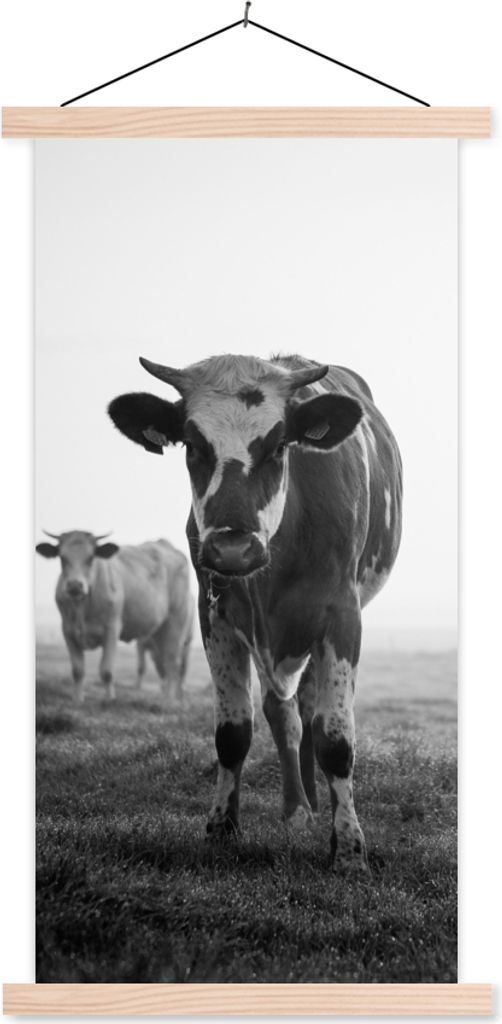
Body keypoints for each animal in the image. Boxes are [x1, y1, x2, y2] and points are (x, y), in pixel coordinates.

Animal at [36, 531, 193, 704]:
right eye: (62, 558)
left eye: (90, 558)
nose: (75, 585)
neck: (82, 605)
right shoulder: (67, 631)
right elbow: (77, 670)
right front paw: (77, 699)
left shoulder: (111, 629)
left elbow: (107, 670)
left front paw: (109, 699)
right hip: (158, 634)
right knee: (164, 665)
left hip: (176, 624)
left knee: (173, 663)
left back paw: (169, 700)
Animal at [108, 354, 402, 872]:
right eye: (193, 445)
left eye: (279, 446)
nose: (232, 549)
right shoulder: (216, 617)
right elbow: (234, 733)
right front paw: (222, 829)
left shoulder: (343, 617)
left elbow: (335, 739)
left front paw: (349, 847)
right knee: (285, 714)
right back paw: (298, 807)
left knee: (308, 712)